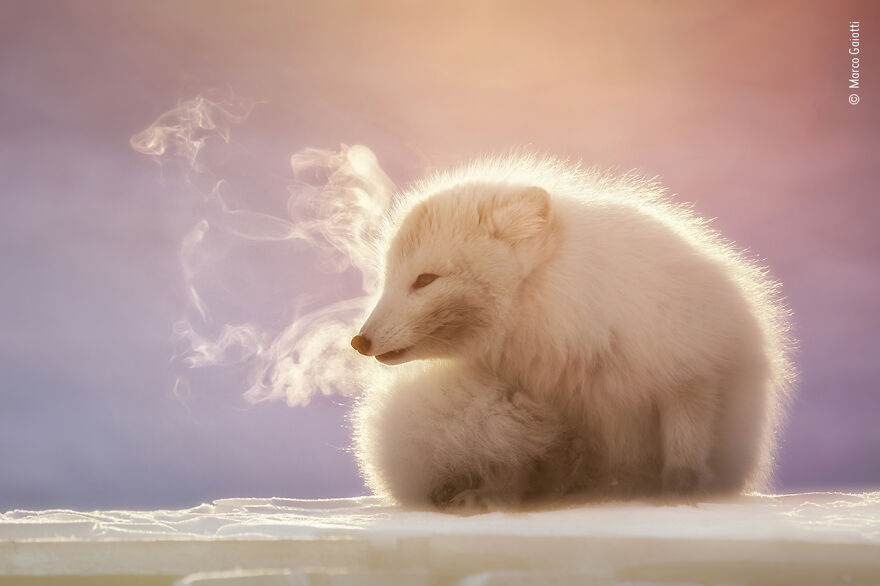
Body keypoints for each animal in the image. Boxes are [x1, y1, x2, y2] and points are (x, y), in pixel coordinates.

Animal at [350, 154, 795, 510]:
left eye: (425, 280)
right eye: (387, 278)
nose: (359, 341)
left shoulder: (691, 371)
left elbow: (684, 445)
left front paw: (678, 493)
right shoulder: (537, 400)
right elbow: (515, 466)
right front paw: (495, 496)